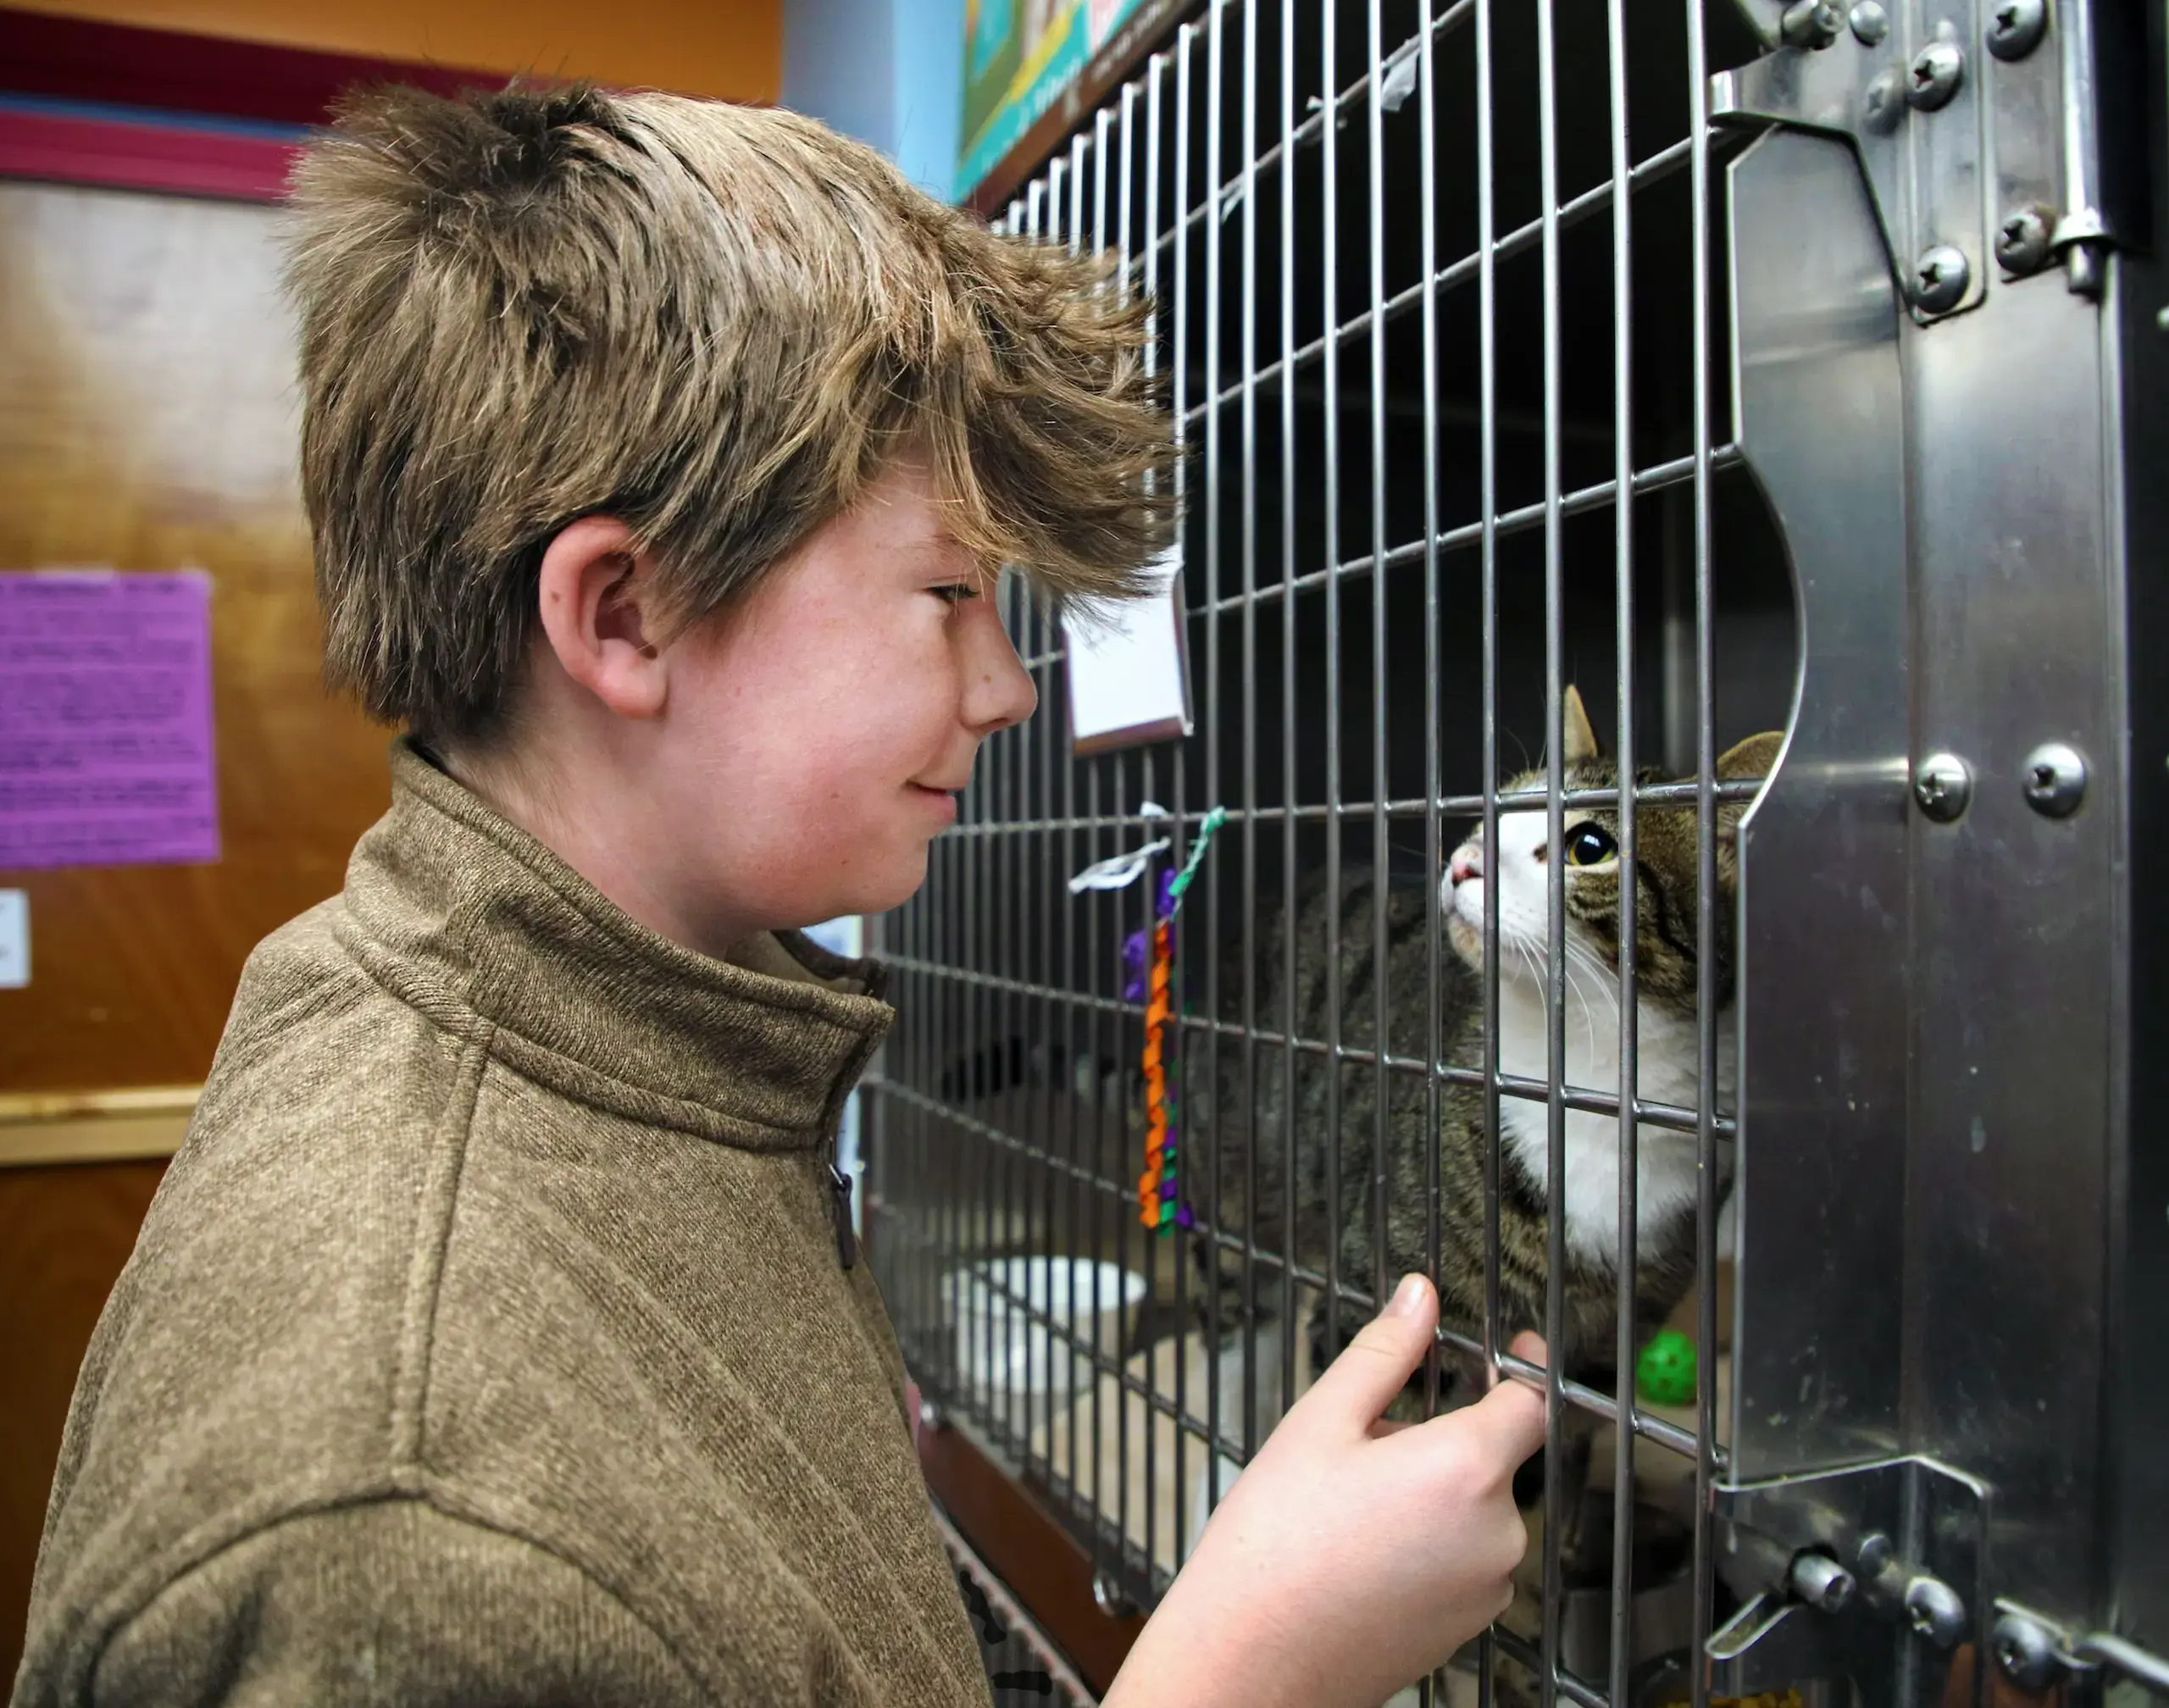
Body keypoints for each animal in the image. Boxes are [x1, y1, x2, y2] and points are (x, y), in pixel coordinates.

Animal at [1188, 680, 1778, 1439]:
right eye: (1501, 810)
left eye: (1590, 846)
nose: (1466, 860)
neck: (1592, 1078)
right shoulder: (1383, 1285)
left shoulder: (1600, 1357)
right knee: (1240, 1332)